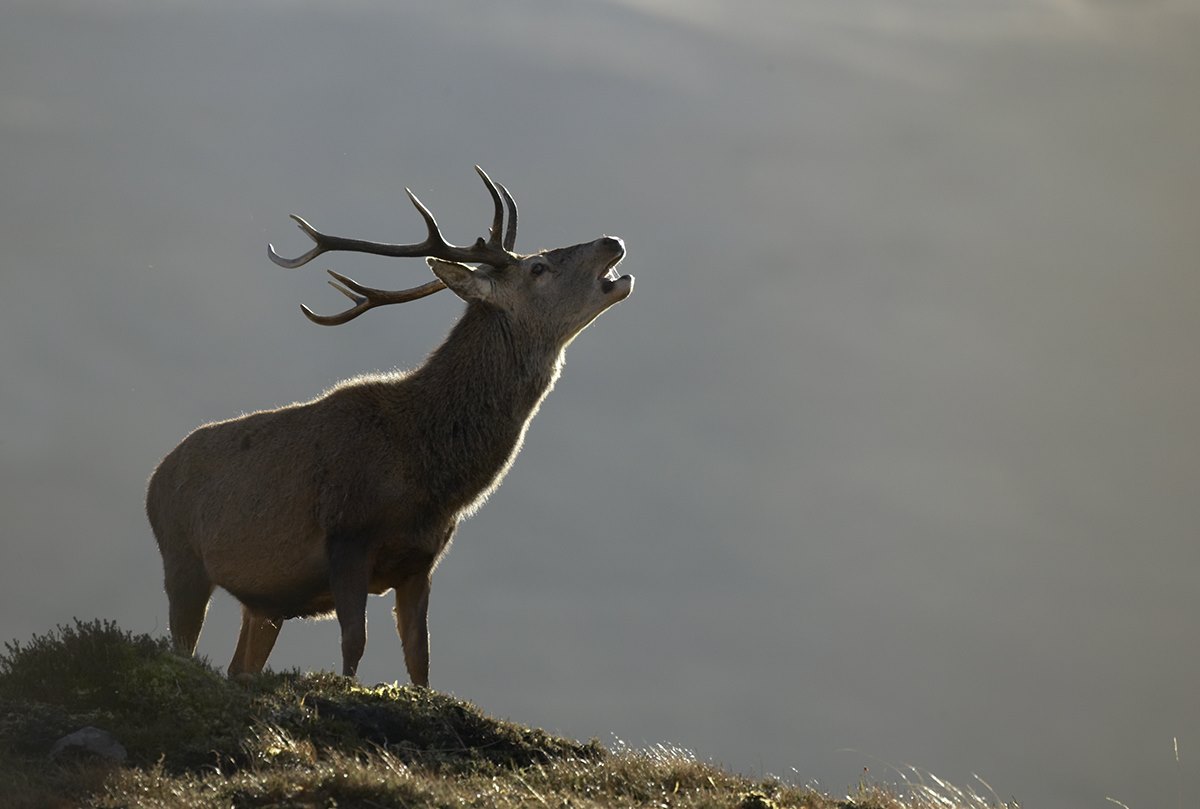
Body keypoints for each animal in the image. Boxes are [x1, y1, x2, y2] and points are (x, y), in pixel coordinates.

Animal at [145, 167, 633, 685]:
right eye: (538, 267)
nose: (611, 240)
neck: (428, 477)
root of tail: (154, 477)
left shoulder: (421, 560)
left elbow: (421, 660)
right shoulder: (347, 537)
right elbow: (353, 645)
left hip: (265, 602)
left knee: (241, 667)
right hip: (181, 557)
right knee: (182, 643)